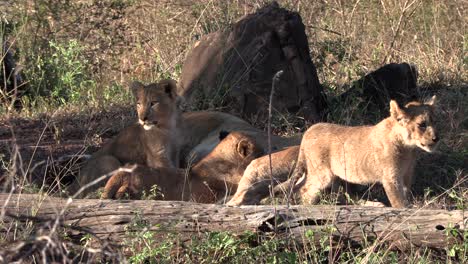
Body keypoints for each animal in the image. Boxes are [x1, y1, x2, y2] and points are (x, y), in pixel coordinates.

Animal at [290, 97, 436, 208]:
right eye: (422, 125)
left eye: (434, 121)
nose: (436, 138)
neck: (408, 149)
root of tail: (310, 130)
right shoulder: (391, 178)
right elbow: (398, 202)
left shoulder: (407, 174)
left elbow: (406, 196)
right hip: (322, 174)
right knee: (304, 191)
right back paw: (310, 207)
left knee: (341, 195)